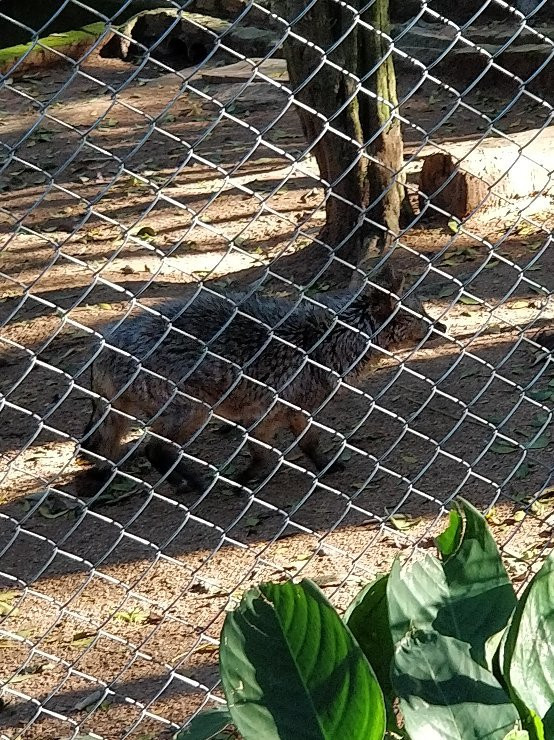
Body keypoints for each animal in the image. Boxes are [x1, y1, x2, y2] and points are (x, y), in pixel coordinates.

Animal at [81, 264, 444, 494]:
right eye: (420, 316)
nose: (442, 326)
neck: (326, 339)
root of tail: (104, 344)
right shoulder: (287, 410)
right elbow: (297, 445)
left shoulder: (268, 415)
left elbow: (278, 450)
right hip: (191, 413)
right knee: (154, 450)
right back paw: (195, 484)